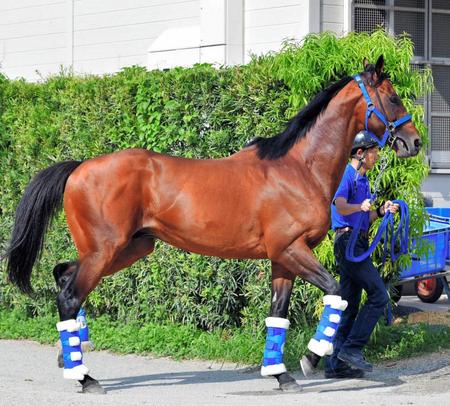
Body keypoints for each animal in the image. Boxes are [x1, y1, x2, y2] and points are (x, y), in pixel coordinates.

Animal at [5, 56, 422, 394]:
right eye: (393, 98)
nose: (414, 142)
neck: (298, 168)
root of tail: (79, 167)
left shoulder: (282, 260)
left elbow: (278, 312)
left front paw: (279, 374)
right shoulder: (292, 250)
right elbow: (337, 292)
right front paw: (310, 359)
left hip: (129, 247)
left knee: (64, 275)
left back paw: (70, 358)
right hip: (105, 251)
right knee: (69, 295)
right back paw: (85, 377)